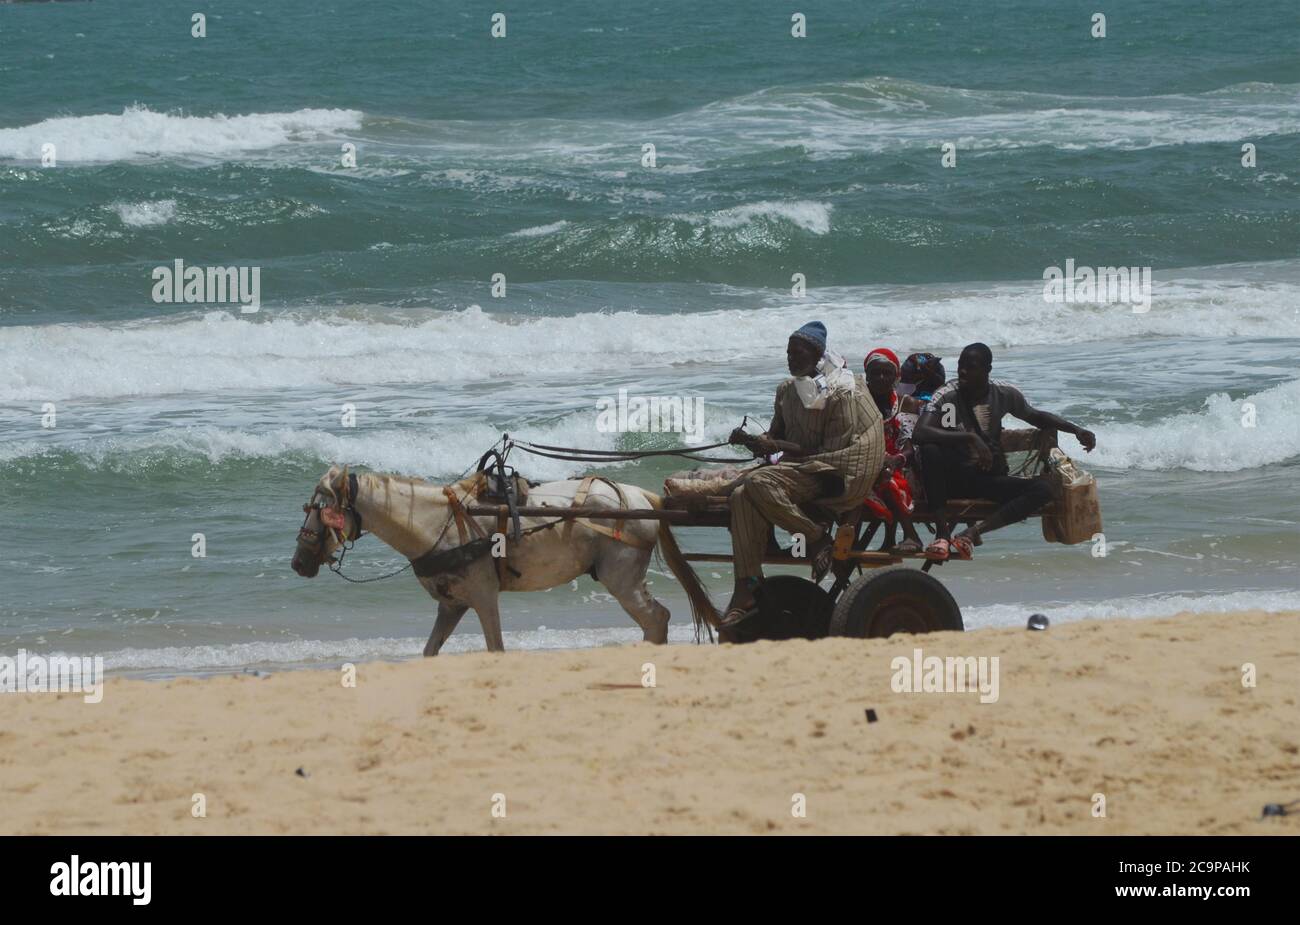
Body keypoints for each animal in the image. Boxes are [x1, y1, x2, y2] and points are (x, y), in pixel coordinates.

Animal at [291, 465, 722, 654]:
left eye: (322, 509)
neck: (439, 523)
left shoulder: (483, 597)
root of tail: (640, 497)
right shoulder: (452, 605)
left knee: (655, 619)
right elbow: (430, 651)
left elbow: (495, 647)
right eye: (308, 507)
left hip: (623, 579)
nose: (298, 562)